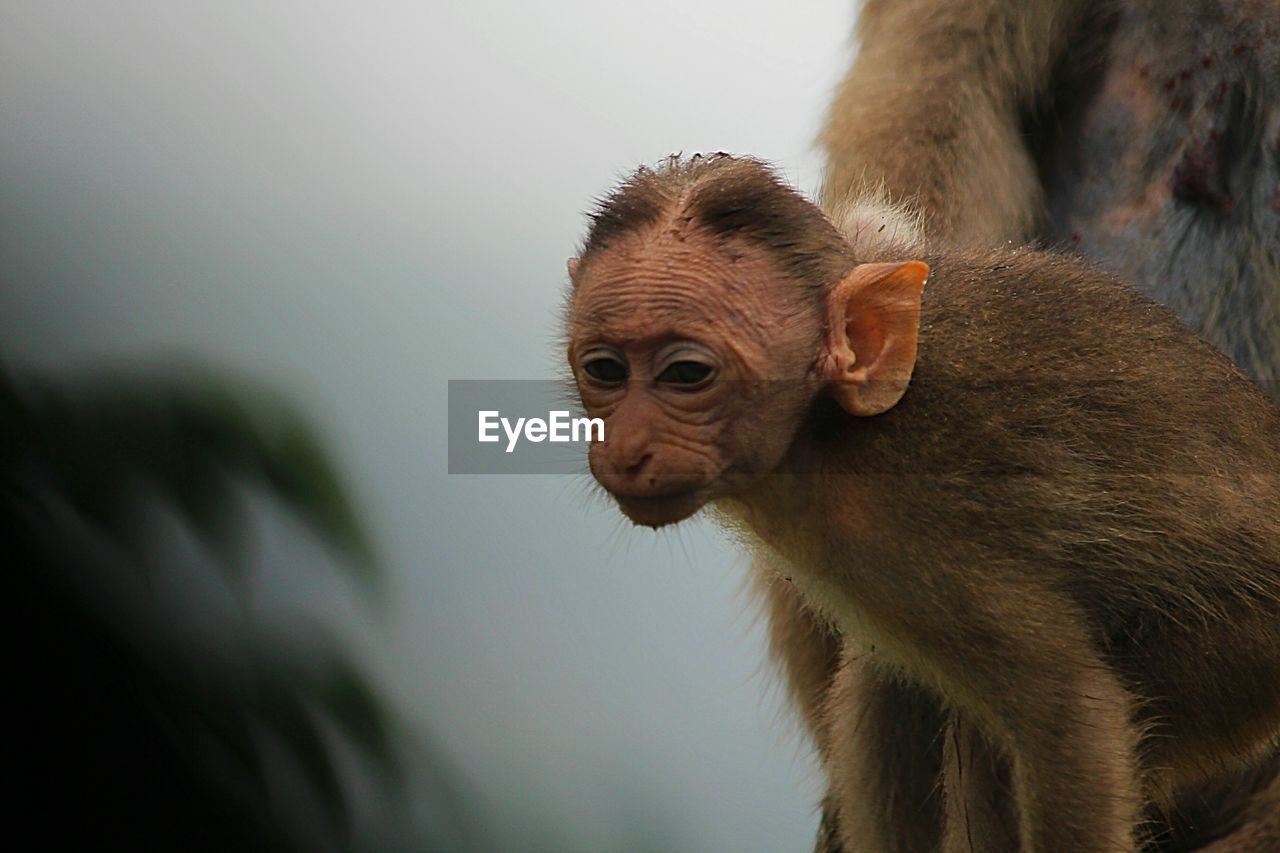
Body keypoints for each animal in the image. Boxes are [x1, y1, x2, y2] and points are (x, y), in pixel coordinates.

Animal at [565, 154, 1280, 850]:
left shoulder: (921, 541)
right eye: (605, 370)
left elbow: (1069, 711)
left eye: (687, 374)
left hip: (1245, 649)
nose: (622, 448)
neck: (826, 435)